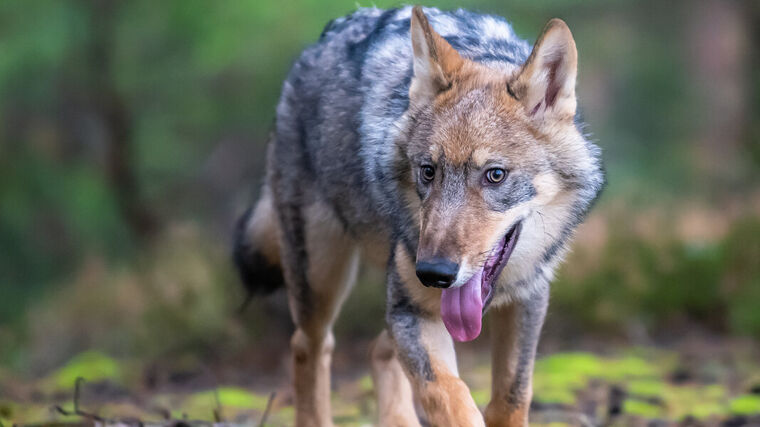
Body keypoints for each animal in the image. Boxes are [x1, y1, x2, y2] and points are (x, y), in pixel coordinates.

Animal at [235, 5, 604, 426]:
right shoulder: (412, 313)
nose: (434, 273)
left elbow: (511, 398)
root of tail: (314, 48)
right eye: (428, 171)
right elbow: (449, 398)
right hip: (324, 282)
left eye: (494, 175)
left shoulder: (527, 300)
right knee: (308, 346)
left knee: (377, 350)